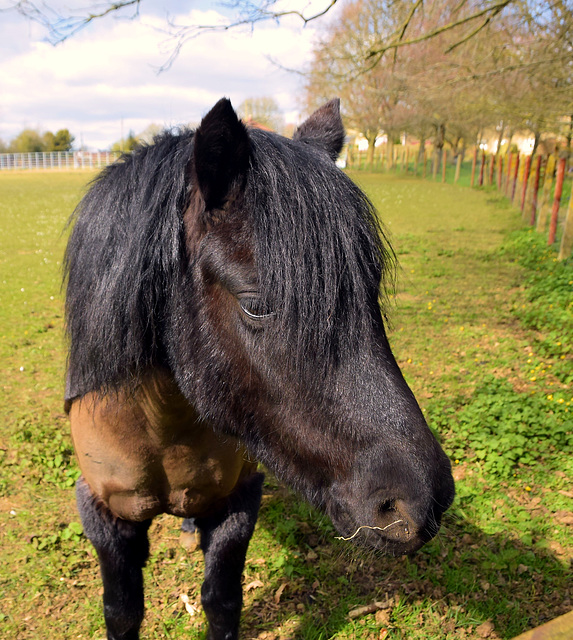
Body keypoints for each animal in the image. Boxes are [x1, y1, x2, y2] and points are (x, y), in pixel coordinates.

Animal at [63, 97, 456, 636]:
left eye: (370, 291)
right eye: (257, 306)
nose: (419, 501)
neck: (160, 426)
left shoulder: (238, 502)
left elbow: (223, 602)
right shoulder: (104, 516)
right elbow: (122, 612)